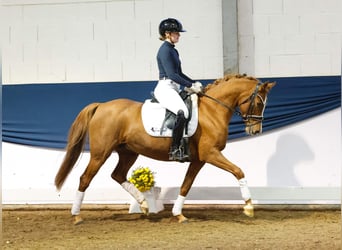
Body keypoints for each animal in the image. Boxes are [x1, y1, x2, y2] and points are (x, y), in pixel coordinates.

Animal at [54, 74, 276, 225]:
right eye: (258, 102)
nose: (255, 130)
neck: (211, 111)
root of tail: (101, 105)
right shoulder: (211, 154)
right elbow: (238, 171)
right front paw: (249, 206)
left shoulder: (199, 159)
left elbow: (186, 185)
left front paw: (179, 214)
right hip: (101, 153)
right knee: (85, 178)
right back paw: (76, 216)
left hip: (129, 152)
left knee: (117, 175)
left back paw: (144, 204)